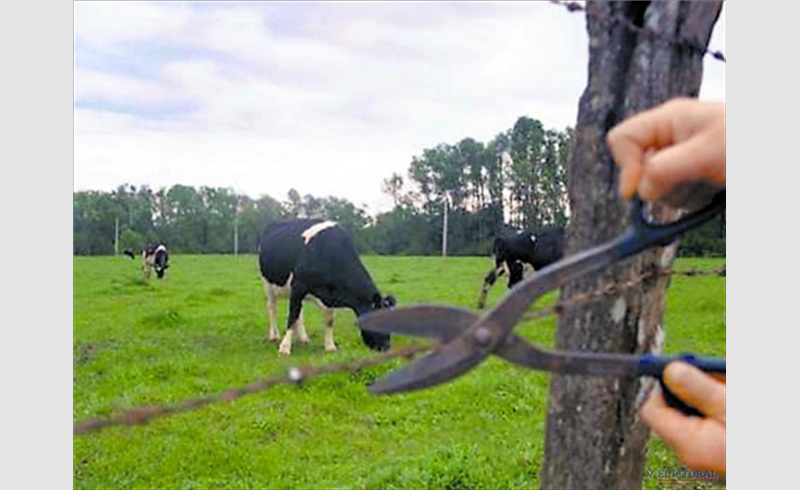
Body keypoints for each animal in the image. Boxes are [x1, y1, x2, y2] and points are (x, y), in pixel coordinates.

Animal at [258, 219, 396, 356]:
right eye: (379, 322)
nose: (386, 347)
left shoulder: (330, 292)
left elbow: (329, 320)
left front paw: (330, 346)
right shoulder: (298, 285)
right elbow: (292, 316)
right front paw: (285, 348)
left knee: (299, 312)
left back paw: (303, 338)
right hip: (268, 284)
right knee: (272, 308)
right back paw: (274, 336)